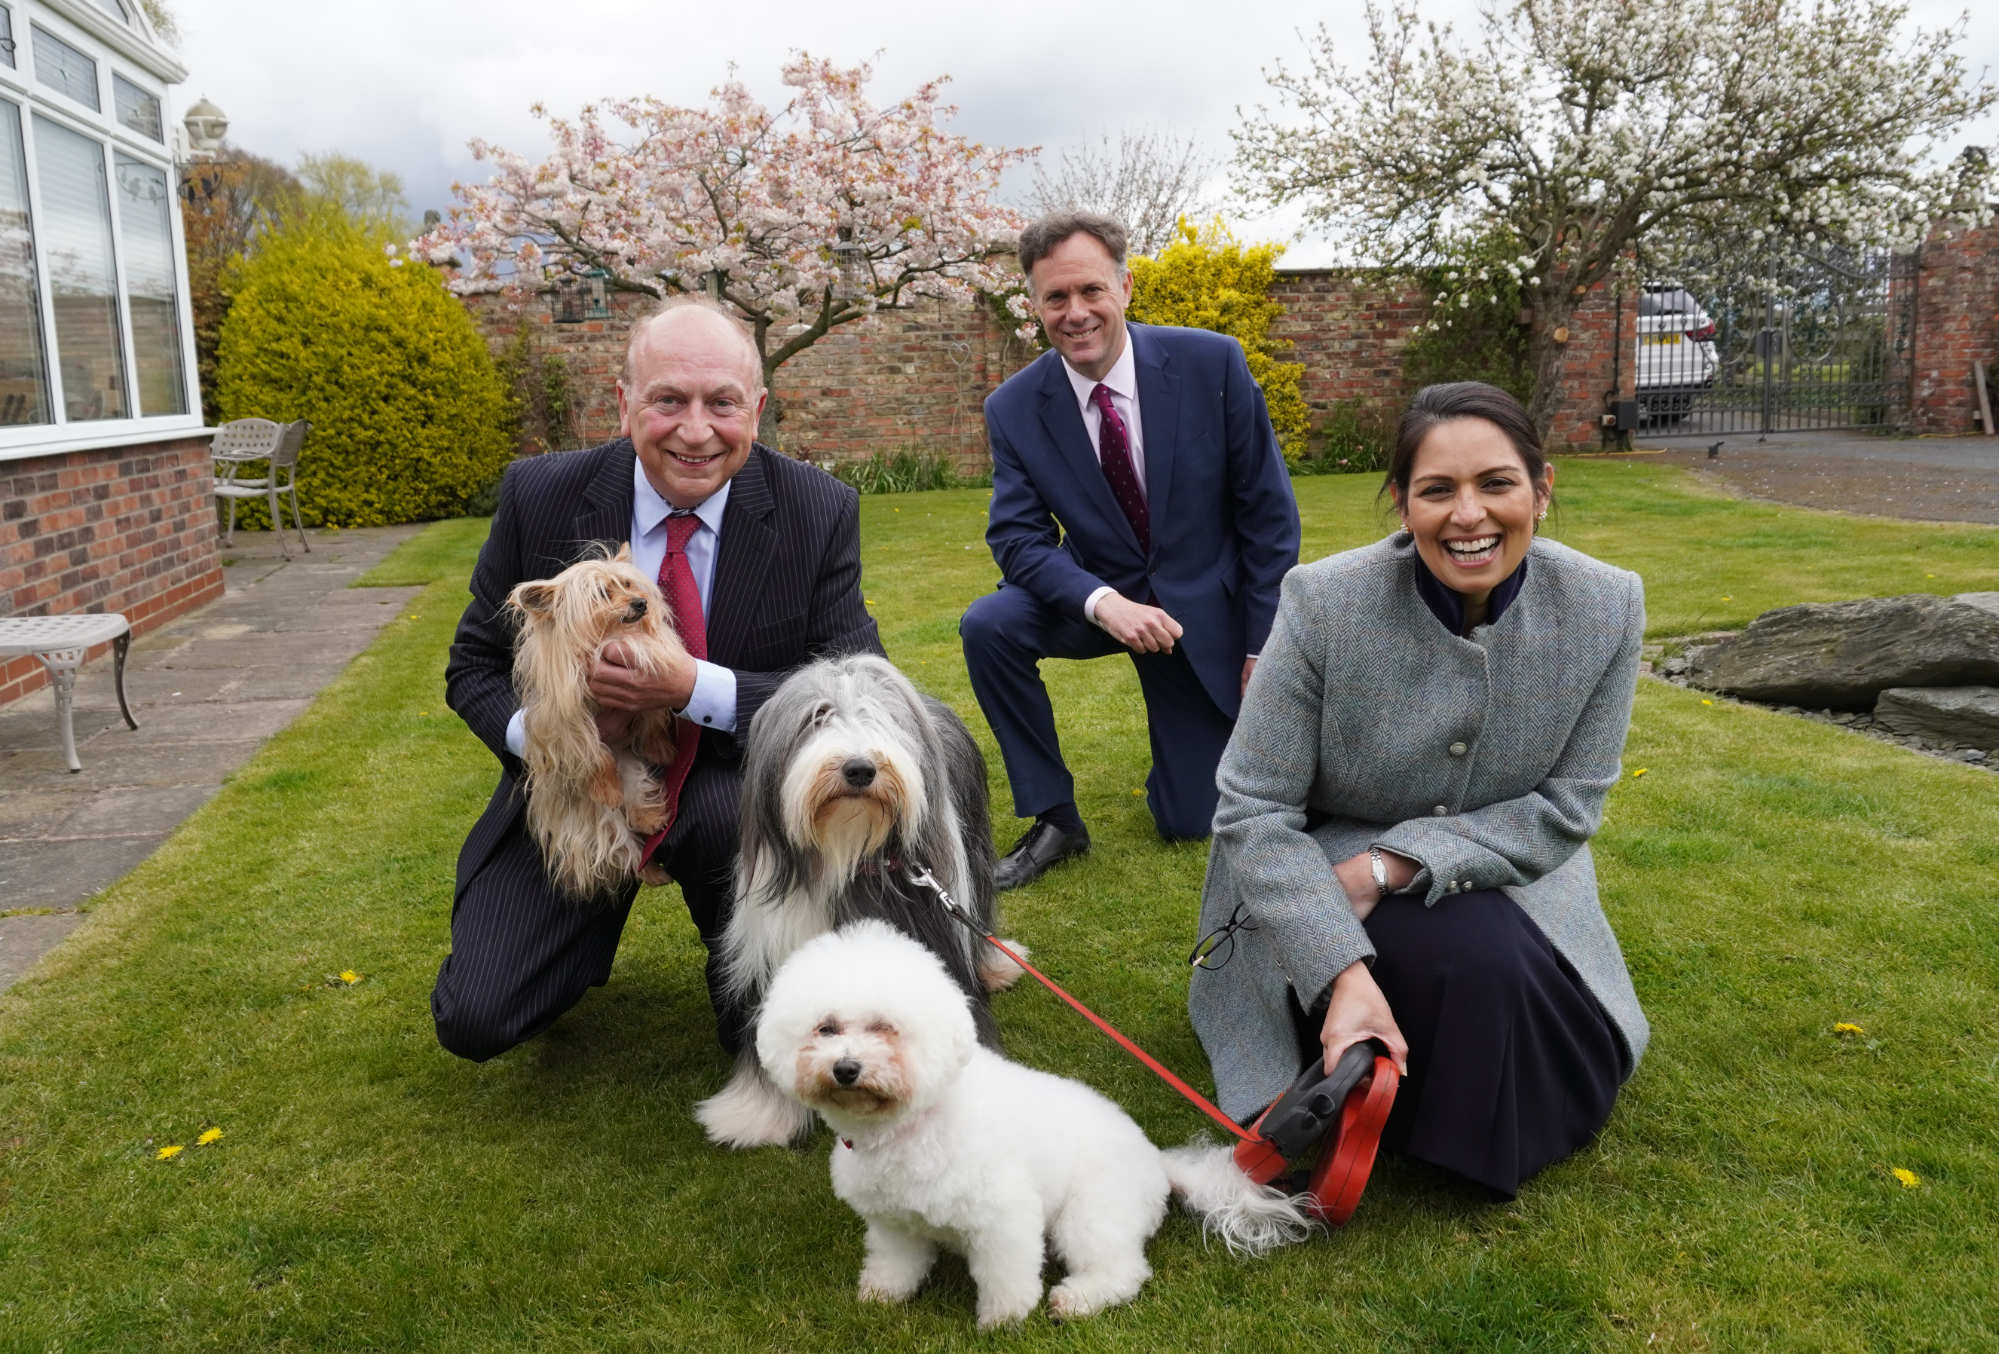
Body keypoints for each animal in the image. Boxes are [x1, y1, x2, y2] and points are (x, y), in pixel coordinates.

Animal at [751, 920, 1311, 1320]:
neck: (909, 1125)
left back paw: (1077, 1300)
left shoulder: (1003, 1216)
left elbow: (1007, 1275)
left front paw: (1002, 1319)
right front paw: (883, 1294)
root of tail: (1155, 1160)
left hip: (1090, 1214)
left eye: (884, 1028)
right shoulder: (893, 1223)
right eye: (826, 1028)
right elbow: (896, 1262)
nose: (846, 1069)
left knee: (1124, 1269)